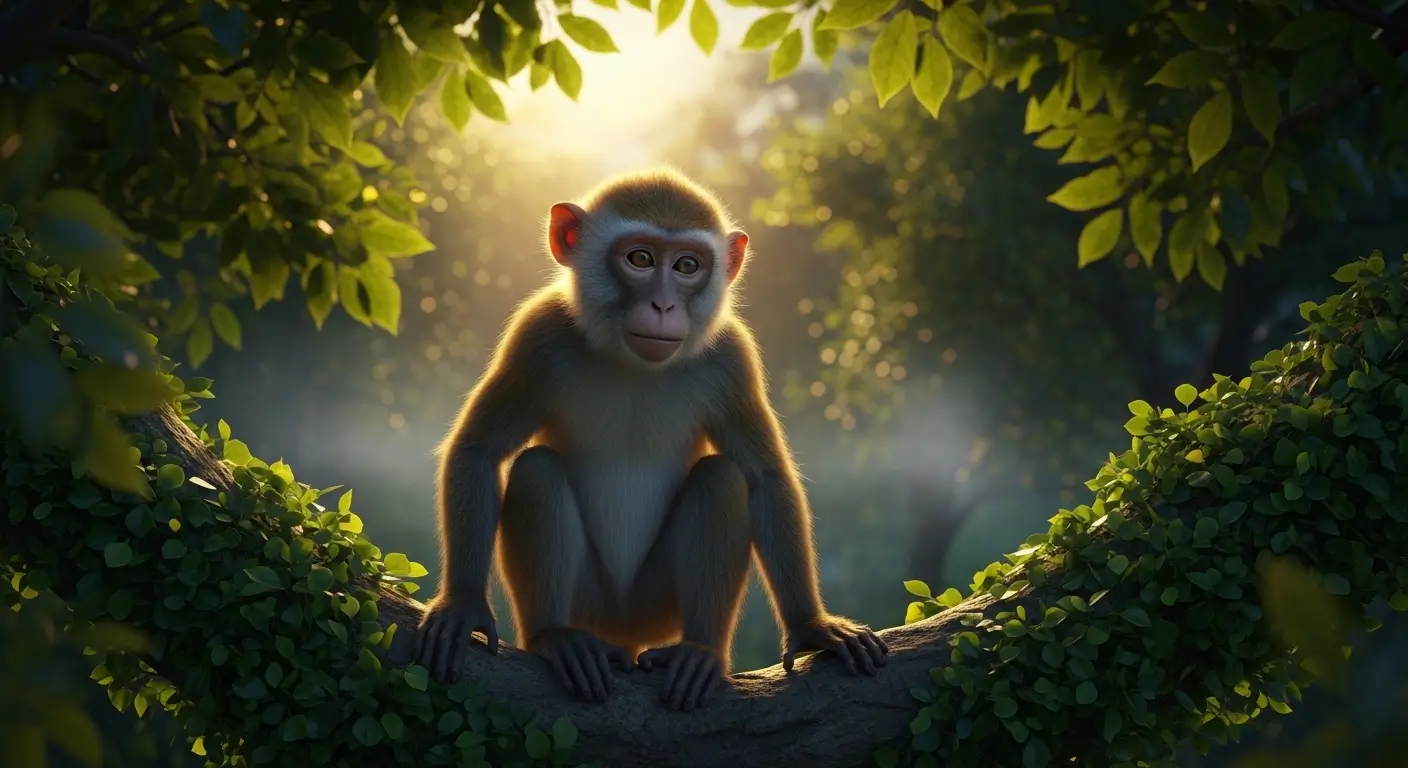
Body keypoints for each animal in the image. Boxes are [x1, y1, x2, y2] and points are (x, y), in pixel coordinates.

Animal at [415, 168, 889, 711]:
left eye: (687, 265)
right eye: (640, 259)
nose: (663, 304)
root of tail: (626, 632)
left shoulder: (732, 357)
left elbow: (764, 478)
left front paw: (813, 627)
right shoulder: (536, 335)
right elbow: (479, 450)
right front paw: (464, 605)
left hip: (656, 605)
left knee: (720, 479)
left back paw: (699, 653)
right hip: (592, 602)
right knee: (537, 469)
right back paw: (558, 638)